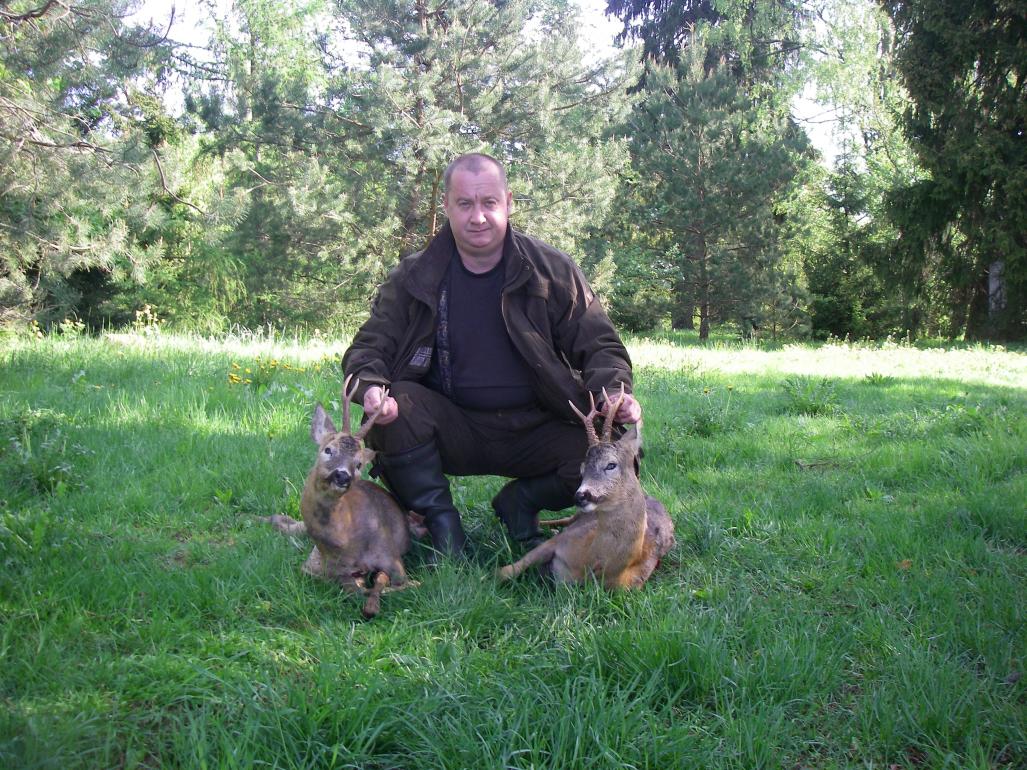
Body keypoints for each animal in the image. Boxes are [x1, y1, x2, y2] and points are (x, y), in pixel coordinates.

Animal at [263, 375, 424, 618]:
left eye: (358, 464)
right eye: (328, 449)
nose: (342, 476)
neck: (345, 540)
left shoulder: (391, 556)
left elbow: (393, 582)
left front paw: (372, 600)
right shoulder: (323, 567)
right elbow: (347, 586)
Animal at [497, 386, 675, 590]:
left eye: (611, 465)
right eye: (581, 469)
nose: (580, 496)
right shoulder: (560, 541)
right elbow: (503, 572)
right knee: (563, 520)